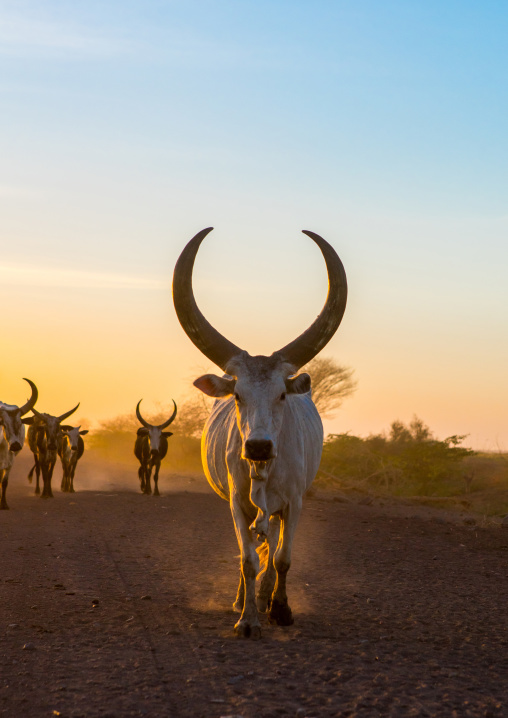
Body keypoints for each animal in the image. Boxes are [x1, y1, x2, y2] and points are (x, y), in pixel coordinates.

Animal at [0, 379, 38, 510]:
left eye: (20, 422)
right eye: (3, 424)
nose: (15, 445)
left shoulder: (10, 461)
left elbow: (4, 482)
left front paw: (4, 504)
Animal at [172, 227, 347, 638]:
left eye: (282, 394)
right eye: (238, 395)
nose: (258, 447)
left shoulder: (295, 502)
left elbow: (282, 558)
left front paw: (280, 609)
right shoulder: (238, 503)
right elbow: (248, 559)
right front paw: (248, 618)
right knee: (250, 549)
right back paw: (244, 598)